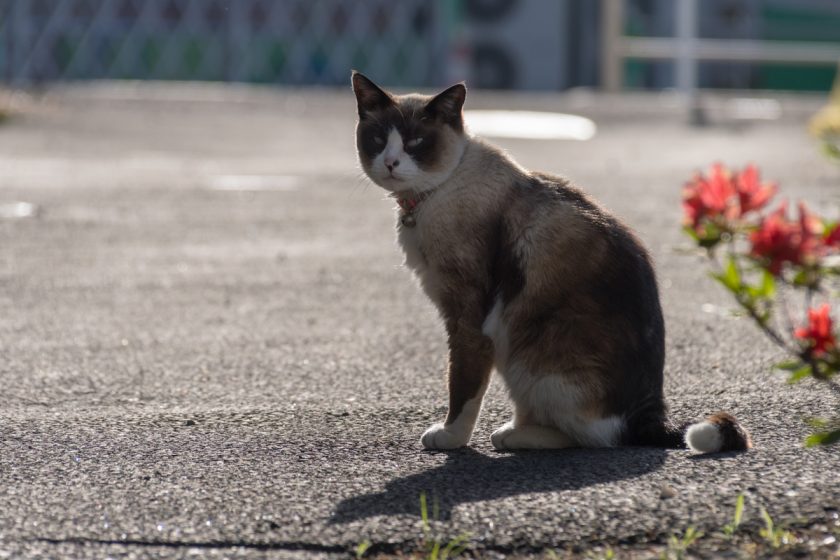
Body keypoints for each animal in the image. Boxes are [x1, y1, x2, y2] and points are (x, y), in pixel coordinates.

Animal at [352, 71, 752, 456]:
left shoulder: (467, 319)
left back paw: (512, 438)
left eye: (416, 142)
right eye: (377, 139)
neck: (432, 195)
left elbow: (462, 386)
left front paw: (450, 438)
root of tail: (648, 413)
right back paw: (513, 431)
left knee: (594, 437)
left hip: (526, 355)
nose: (390, 163)